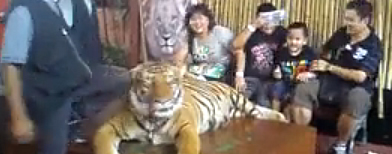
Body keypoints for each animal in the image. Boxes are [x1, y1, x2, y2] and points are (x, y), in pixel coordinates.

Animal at [93, 61, 286, 154]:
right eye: (148, 83)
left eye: (171, 81)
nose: (162, 101)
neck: (153, 120)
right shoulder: (108, 127)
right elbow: (103, 148)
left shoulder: (186, 128)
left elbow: (189, 148)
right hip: (237, 112)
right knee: (255, 113)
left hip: (239, 99)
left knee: (258, 110)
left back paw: (282, 118)